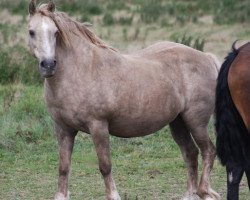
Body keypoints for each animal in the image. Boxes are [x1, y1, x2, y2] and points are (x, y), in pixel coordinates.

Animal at [26, 0, 221, 199]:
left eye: (55, 32)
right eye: (31, 31)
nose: (48, 65)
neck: (81, 70)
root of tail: (206, 57)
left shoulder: (98, 127)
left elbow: (105, 166)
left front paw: (113, 195)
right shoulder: (64, 129)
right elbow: (64, 167)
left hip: (196, 121)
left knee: (208, 151)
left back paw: (204, 191)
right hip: (178, 122)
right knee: (191, 153)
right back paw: (190, 194)